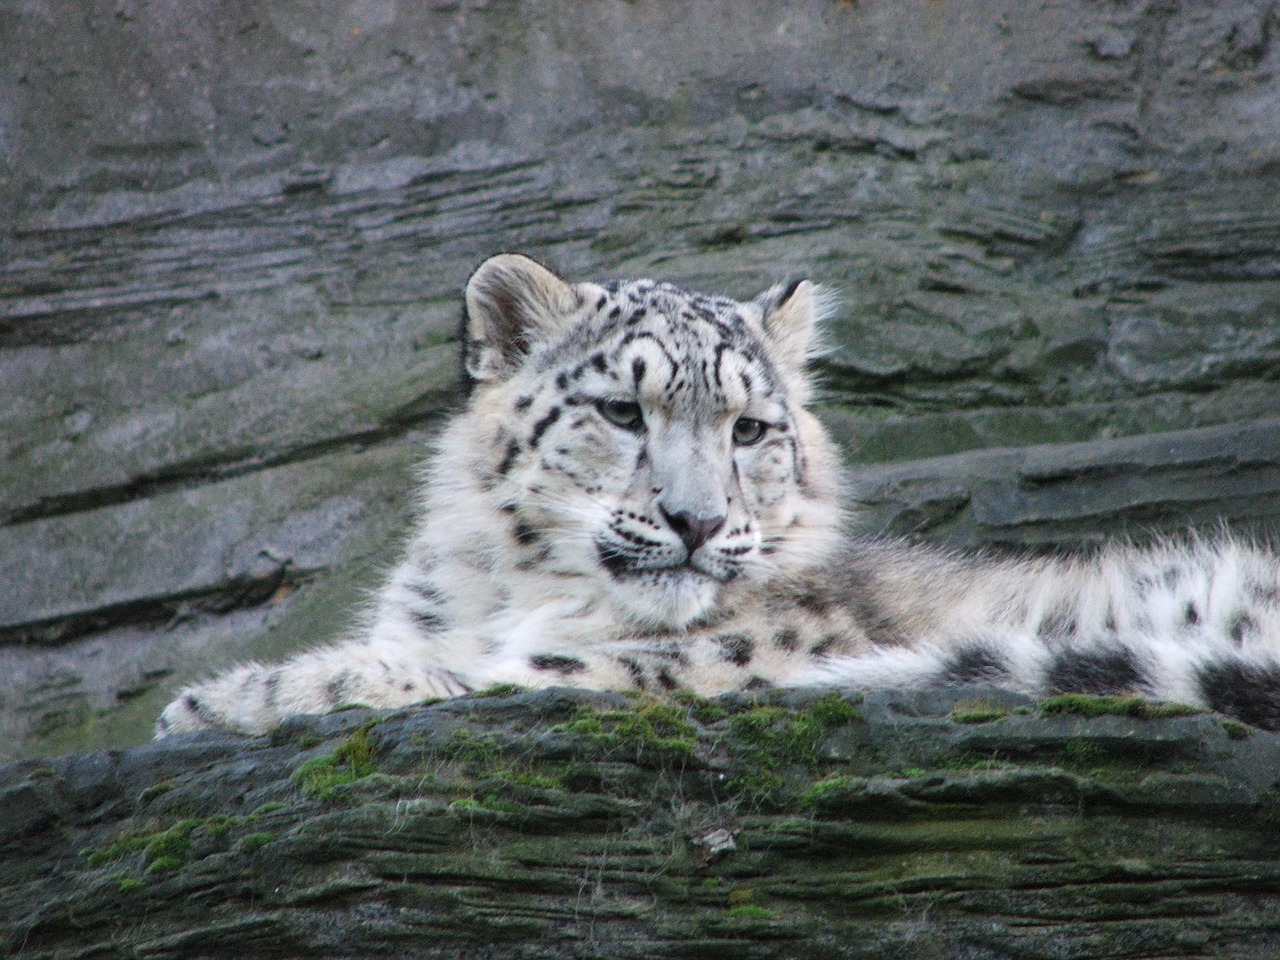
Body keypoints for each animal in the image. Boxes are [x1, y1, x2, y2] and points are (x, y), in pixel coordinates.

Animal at [154, 249, 1280, 737]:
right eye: (621, 411)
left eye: (748, 429)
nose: (695, 521)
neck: (507, 593)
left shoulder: (709, 663)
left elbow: (505, 674)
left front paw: (234, 693)